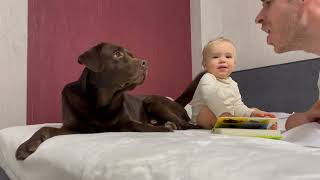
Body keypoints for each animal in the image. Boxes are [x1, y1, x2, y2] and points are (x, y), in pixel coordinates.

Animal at [15, 42, 205, 160]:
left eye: (131, 55)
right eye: (117, 53)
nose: (145, 62)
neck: (102, 103)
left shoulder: (128, 122)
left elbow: (143, 126)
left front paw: (162, 128)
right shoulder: (75, 128)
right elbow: (45, 128)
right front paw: (26, 146)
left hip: (153, 101)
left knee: (190, 125)